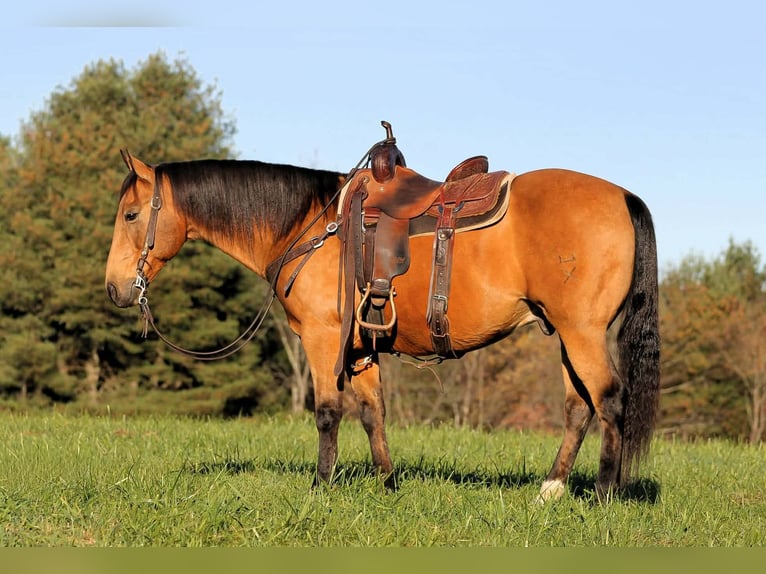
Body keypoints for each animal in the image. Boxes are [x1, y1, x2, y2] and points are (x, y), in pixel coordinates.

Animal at [105, 139, 660, 502]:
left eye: (131, 215)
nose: (114, 288)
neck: (311, 225)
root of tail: (623, 196)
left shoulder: (324, 340)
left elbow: (328, 412)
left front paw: (320, 487)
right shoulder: (361, 348)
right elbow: (373, 412)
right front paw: (387, 484)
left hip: (582, 333)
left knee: (609, 400)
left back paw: (603, 494)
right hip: (565, 334)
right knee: (578, 407)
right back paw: (551, 489)